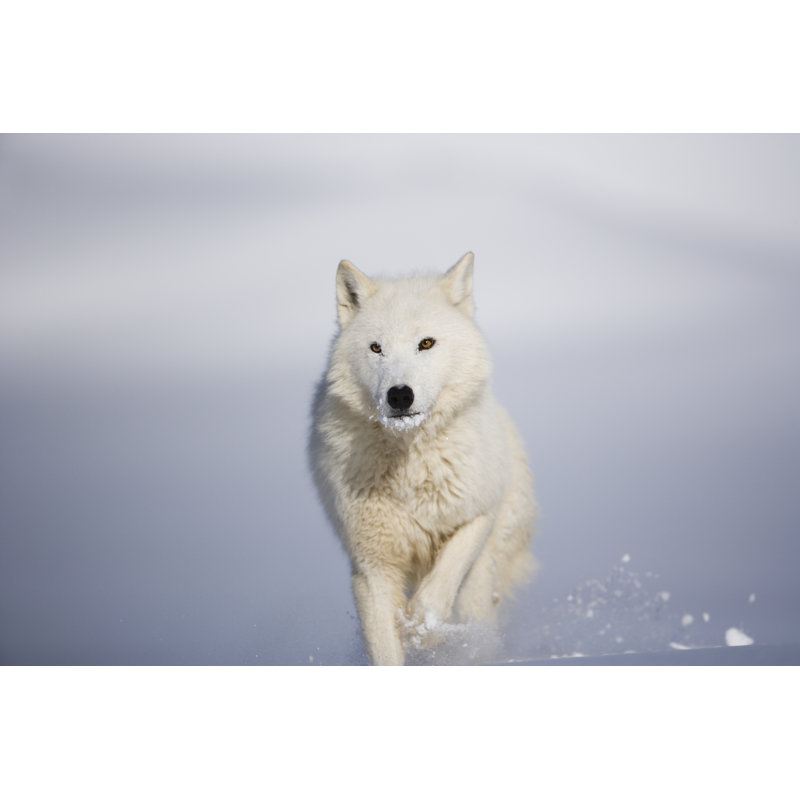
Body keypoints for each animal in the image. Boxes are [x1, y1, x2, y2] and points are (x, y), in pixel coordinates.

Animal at [309, 253, 537, 665]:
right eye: (376, 348)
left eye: (426, 343)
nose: (400, 395)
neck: (409, 466)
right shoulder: (371, 567)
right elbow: (385, 652)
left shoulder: (477, 514)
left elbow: (436, 591)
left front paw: (423, 631)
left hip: (481, 579)